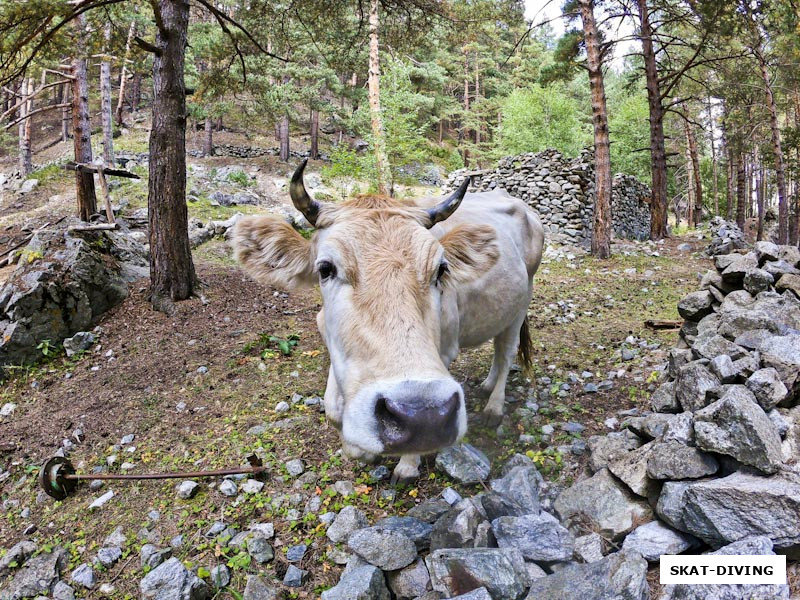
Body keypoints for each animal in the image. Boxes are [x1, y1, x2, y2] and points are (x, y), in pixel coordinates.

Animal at [231, 162, 544, 486]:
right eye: (325, 269)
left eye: (441, 270)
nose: (420, 417)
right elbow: (333, 409)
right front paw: (359, 450)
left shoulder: (444, 351)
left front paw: (406, 465)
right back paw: (487, 384)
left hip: (524, 299)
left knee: (507, 352)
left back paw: (494, 407)